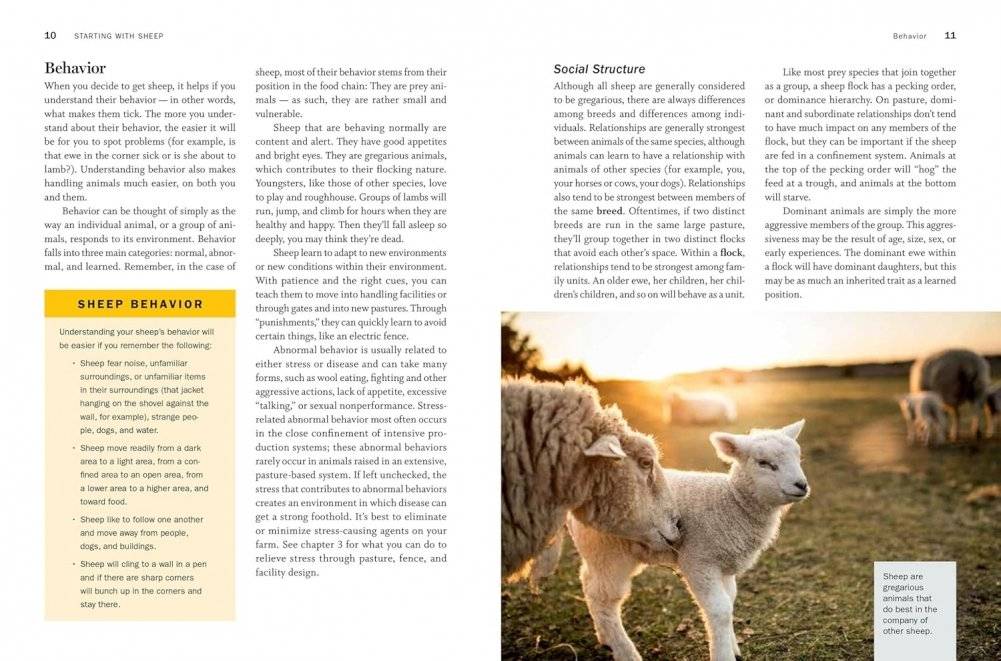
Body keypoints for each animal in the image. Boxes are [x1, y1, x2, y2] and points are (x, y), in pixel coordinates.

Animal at [568, 420, 810, 661]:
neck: (732, 503)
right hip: (608, 552)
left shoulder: (724, 564)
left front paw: (732, 645)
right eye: (763, 463)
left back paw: (604, 637)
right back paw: (624, 650)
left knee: (589, 583)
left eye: (798, 457)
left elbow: (730, 600)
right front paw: (723, 654)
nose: (802, 485)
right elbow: (720, 610)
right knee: (603, 598)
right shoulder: (699, 561)